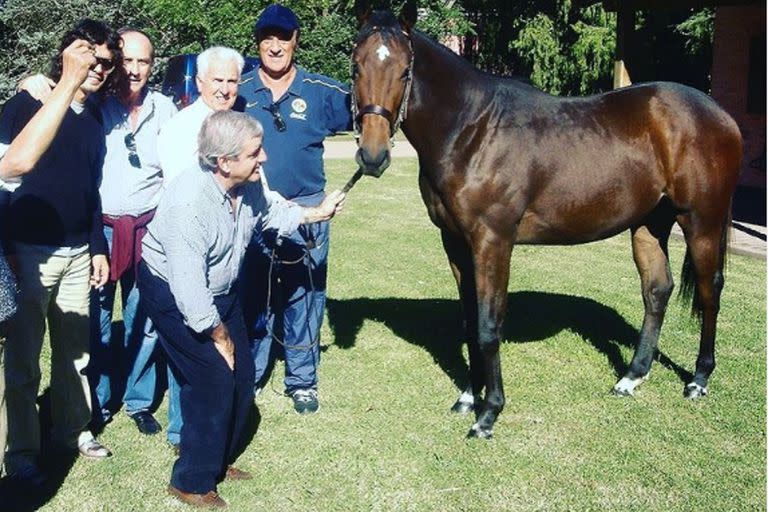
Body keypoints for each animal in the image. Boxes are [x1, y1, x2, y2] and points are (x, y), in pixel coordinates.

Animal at [352, 1, 740, 440]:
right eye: (356, 65)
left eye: (405, 71)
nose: (372, 156)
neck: (473, 130)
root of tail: (718, 113)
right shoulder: (455, 241)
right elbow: (469, 321)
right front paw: (468, 397)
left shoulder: (492, 241)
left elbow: (488, 326)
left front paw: (488, 414)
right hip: (648, 224)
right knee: (657, 291)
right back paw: (631, 377)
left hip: (701, 221)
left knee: (709, 292)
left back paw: (699, 379)